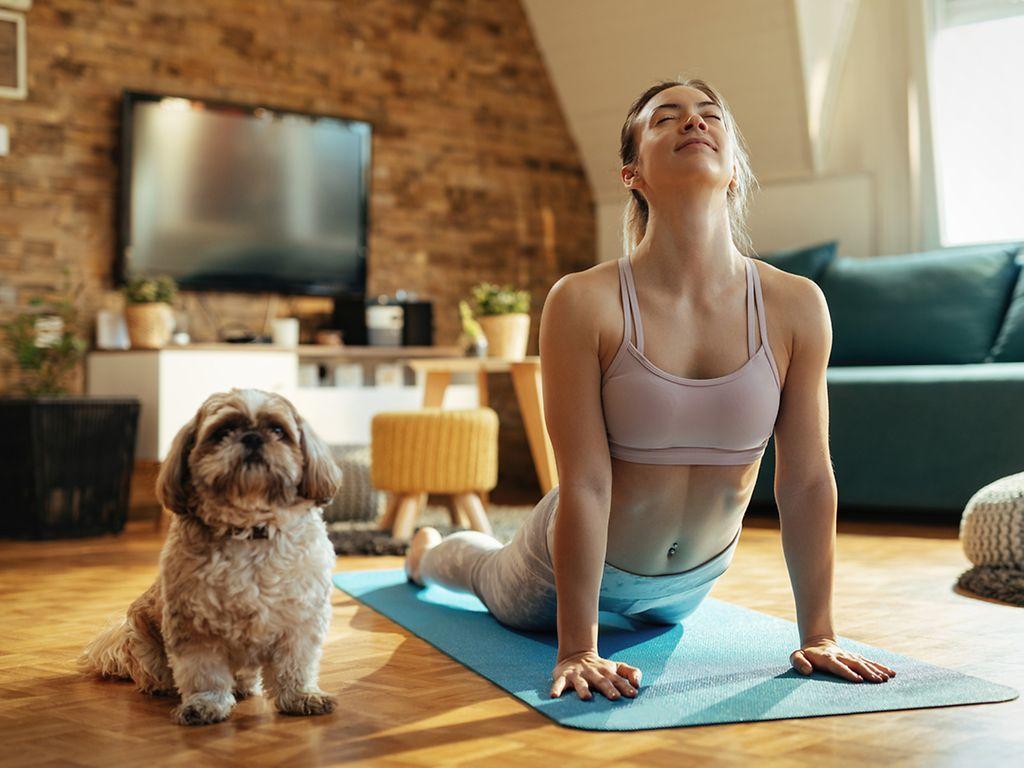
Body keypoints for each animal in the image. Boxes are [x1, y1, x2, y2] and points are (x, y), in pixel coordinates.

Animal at [78, 391, 344, 729]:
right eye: (223, 431)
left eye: (278, 430)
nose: (253, 437)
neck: (249, 530)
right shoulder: (194, 627)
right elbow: (204, 673)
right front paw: (205, 705)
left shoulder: (300, 621)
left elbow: (295, 665)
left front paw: (301, 696)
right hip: (142, 641)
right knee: (157, 674)